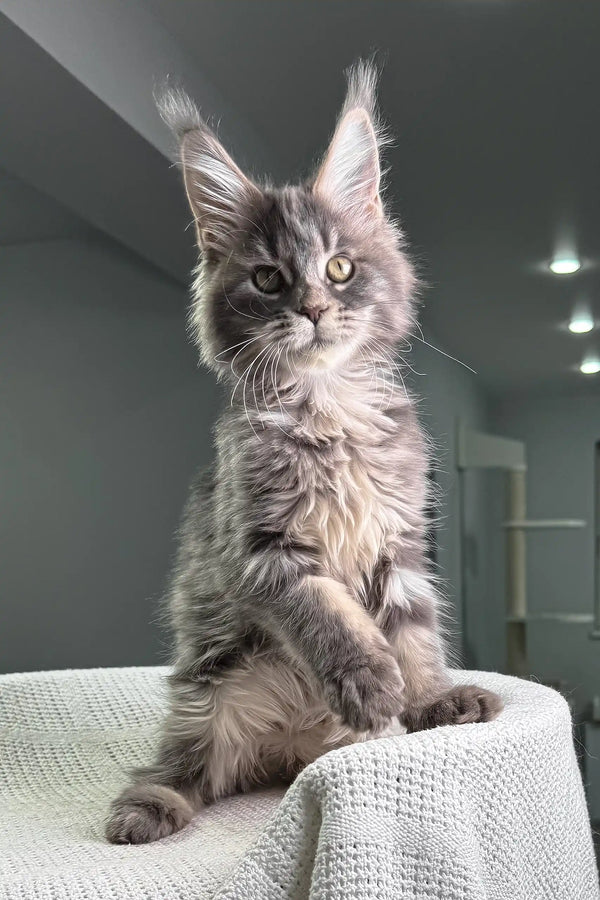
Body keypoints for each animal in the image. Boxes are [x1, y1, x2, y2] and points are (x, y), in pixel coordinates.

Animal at [106, 63, 502, 844]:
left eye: (341, 268)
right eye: (268, 279)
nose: (315, 308)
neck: (330, 408)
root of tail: (287, 747)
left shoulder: (401, 539)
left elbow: (415, 632)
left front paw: (427, 699)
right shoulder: (262, 549)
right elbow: (327, 616)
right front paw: (368, 683)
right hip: (207, 693)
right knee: (184, 766)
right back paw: (147, 808)